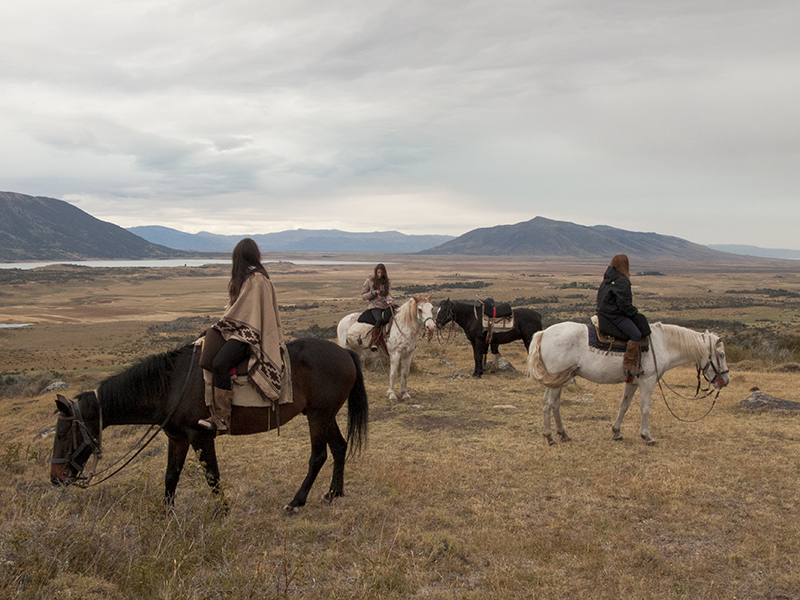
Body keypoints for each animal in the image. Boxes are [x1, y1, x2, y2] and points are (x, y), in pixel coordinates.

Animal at [51, 338, 370, 510]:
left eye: (65, 434)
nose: (56, 478)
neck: (171, 386)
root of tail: (345, 353)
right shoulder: (178, 438)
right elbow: (171, 477)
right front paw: (166, 514)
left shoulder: (201, 435)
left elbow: (212, 476)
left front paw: (222, 510)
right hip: (324, 415)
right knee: (339, 447)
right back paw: (334, 493)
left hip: (318, 416)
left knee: (319, 455)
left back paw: (296, 502)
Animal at [528, 324, 728, 446]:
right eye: (722, 355)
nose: (725, 380)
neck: (662, 344)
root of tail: (543, 333)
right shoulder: (648, 381)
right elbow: (645, 408)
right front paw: (647, 436)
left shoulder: (632, 382)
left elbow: (624, 405)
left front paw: (616, 432)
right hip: (555, 379)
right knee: (548, 403)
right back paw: (550, 437)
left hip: (561, 379)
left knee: (555, 405)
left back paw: (563, 434)